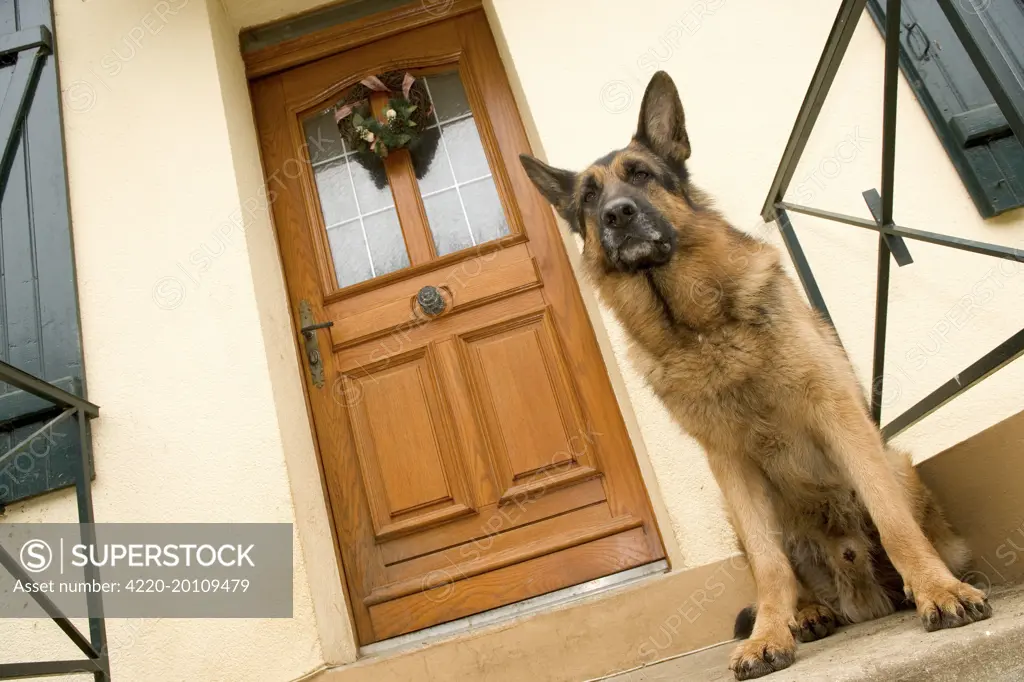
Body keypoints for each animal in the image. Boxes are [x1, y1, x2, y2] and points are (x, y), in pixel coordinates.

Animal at [520, 71, 991, 675]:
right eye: (588, 198)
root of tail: (863, 593)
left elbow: (892, 519)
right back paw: (806, 613)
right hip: (735, 510)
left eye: (641, 175)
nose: (617, 215)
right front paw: (770, 633)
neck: (700, 326)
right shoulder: (729, 463)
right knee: (785, 570)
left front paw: (937, 588)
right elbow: (770, 566)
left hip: (896, 462)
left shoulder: (838, 417)